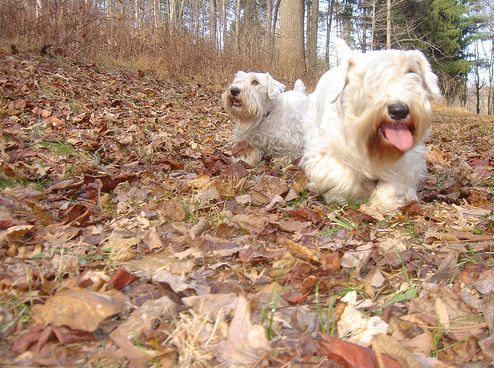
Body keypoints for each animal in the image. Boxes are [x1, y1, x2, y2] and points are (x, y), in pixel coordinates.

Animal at [302, 39, 442, 210]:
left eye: (411, 71)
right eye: (366, 77)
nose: (399, 110)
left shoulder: (405, 162)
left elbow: (393, 182)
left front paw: (384, 203)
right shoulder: (326, 151)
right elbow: (341, 176)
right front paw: (353, 194)